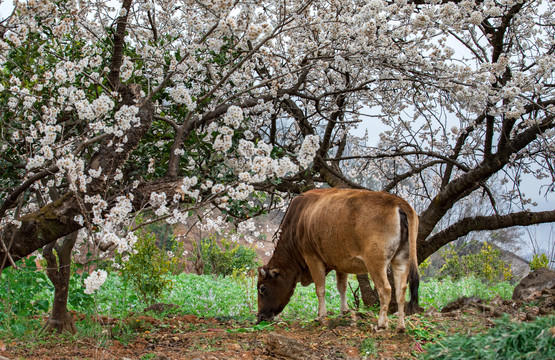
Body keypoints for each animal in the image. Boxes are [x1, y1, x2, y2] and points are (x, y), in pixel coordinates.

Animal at [258, 188, 420, 332]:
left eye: (263, 288)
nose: (260, 316)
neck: (299, 220)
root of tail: (397, 201)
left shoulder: (312, 258)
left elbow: (320, 288)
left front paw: (321, 315)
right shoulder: (342, 264)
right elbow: (342, 287)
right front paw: (344, 311)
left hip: (376, 263)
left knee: (385, 289)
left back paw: (381, 324)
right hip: (401, 260)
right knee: (401, 290)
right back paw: (400, 326)